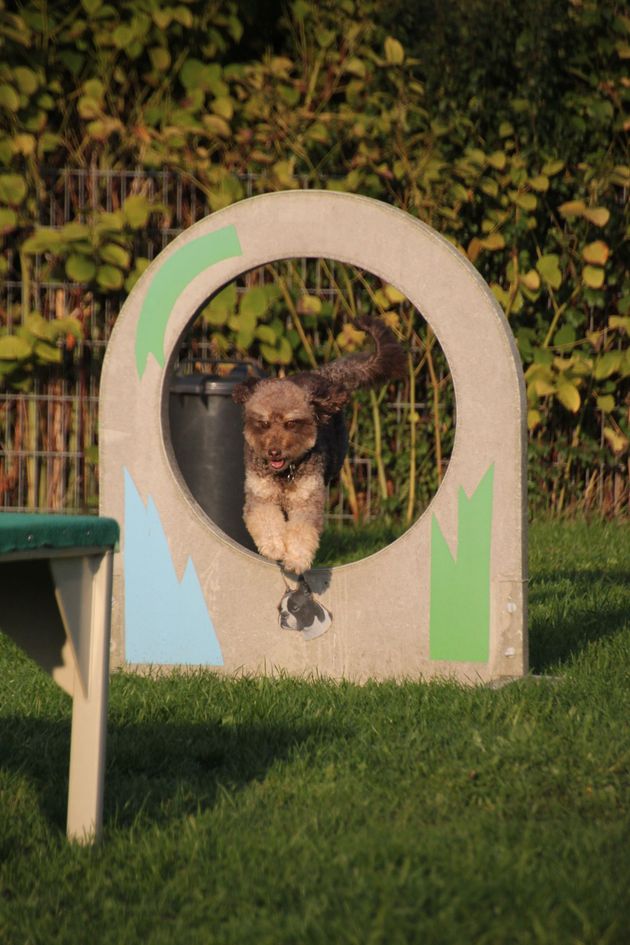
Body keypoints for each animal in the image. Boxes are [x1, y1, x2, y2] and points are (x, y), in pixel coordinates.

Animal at [232, 317, 406, 575]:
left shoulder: (307, 499)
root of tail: (324, 374)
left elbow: (302, 531)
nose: (274, 452)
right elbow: (266, 520)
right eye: (263, 423)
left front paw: (295, 560)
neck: (285, 473)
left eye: (291, 423)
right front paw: (275, 548)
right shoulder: (260, 495)